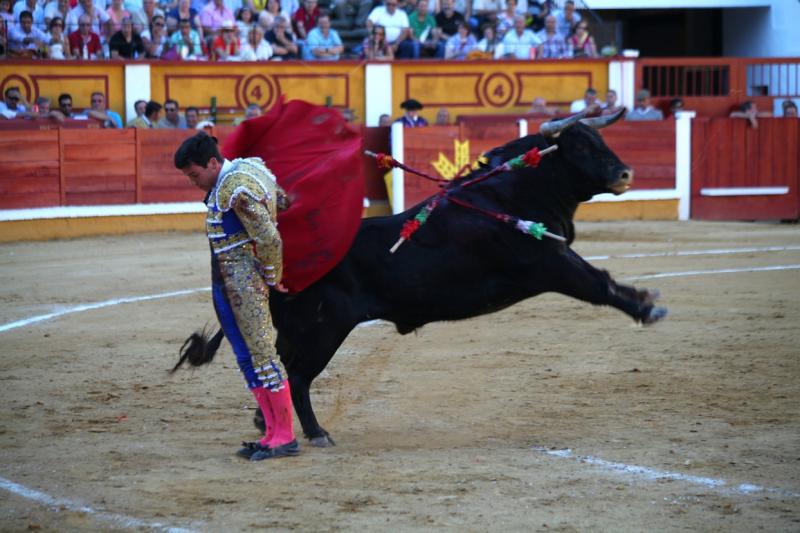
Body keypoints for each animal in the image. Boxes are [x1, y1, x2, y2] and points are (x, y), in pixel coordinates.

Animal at [177, 108, 668, 444]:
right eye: (580, 147)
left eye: (599, 139)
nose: (625, 173)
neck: (512, 194)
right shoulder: (550, 262)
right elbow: (598, 282)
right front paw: (646, 309)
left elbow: (604, 279)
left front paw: (646, 299)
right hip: (324, 327)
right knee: (297, 377)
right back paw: (317, 433)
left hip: (296, 326)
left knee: (276, 365)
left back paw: (267, 421)